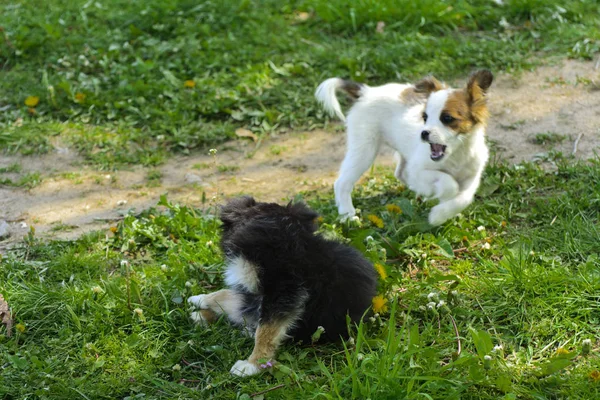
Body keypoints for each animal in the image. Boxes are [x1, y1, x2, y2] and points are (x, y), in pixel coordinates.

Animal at [189, 197, 376, 378]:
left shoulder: (284, 290)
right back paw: (200, 316)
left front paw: (253, 364)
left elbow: (266, 330)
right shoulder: (259, 293)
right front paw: (200, 299)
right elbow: (227, 295)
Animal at [314, 69, 492, 225]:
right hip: (364, 150)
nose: (423, 133)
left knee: (400, 173)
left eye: (447, 118)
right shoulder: (418, 169)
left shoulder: (471, 179)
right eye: (425, 117)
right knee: (342, 183)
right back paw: (347, 215)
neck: (456, 154)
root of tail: (366, 92)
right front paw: (437, 212)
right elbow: (449, 183)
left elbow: (463, 199)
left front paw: (441, 213)